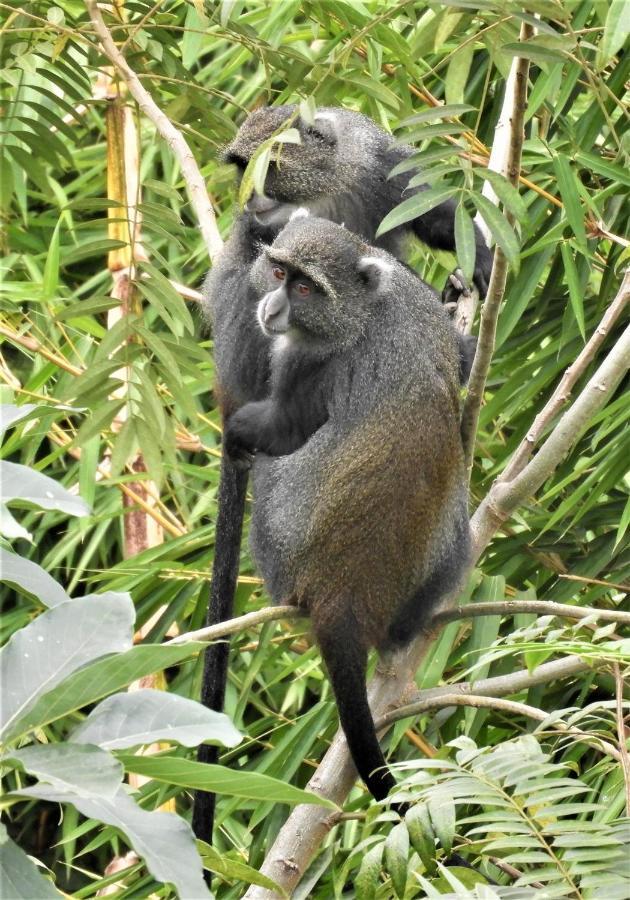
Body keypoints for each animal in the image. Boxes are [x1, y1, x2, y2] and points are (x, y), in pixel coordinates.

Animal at [225, 220, 472, 808]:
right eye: (278, 272)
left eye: (305, 288)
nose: (271, 306)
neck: (366, 307)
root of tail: (345, 599)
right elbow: (462, 359)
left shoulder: (310, 361)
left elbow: (283, 428)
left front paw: (239, 430)